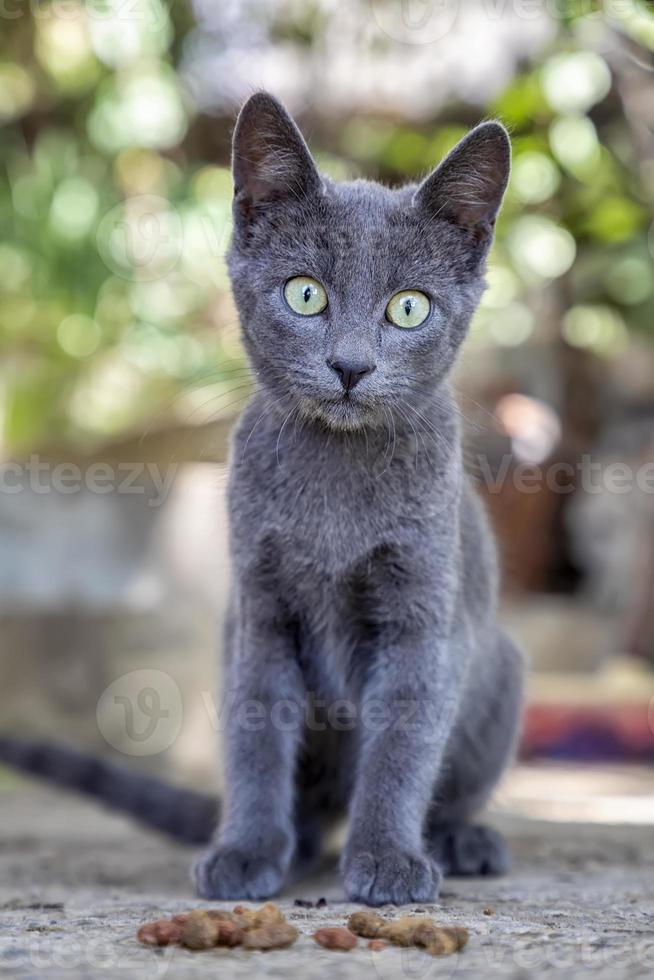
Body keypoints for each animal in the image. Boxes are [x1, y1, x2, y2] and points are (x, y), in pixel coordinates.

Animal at [0, 92, 524, 904]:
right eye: (305, 294)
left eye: (409, 309)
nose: (350, 366)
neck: (335, 485)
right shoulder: (260, 607)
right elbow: (255, 736)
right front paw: (245, 850)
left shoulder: (422, 612)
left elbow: (403, 744)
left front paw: (387, 858)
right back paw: (297, 843)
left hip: (501, 666)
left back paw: (459, 840)